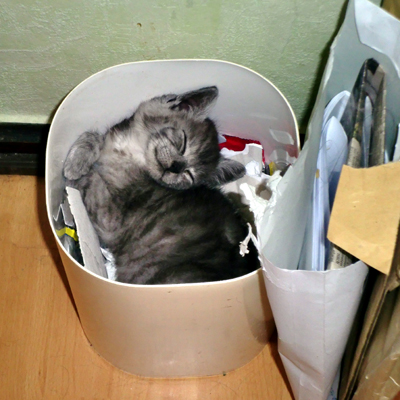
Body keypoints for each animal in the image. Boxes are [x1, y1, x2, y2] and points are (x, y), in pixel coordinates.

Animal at [63, 86, 259, 284]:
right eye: (183, 143)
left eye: (190, 175)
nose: (176, 166)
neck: (137, 152)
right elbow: (95, 136)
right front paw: (78, 159)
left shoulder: (107, 215)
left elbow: (80, 181)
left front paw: (73, 169)